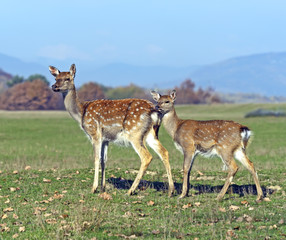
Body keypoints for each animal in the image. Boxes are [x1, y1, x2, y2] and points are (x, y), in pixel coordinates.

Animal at [49, 64, 174, 196]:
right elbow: (104, 160)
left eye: (67, 78)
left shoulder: (95, 133)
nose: (54, 86)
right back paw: (171, 190)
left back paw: (130, 190)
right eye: (56, 78)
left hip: (134, 132)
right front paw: (103, 187)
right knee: (164, 152)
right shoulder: (106, 139)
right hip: (151, 133)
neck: (81, 112)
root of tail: (154, 111)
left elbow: (96, 158)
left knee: (146, 156)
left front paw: (94, 188)